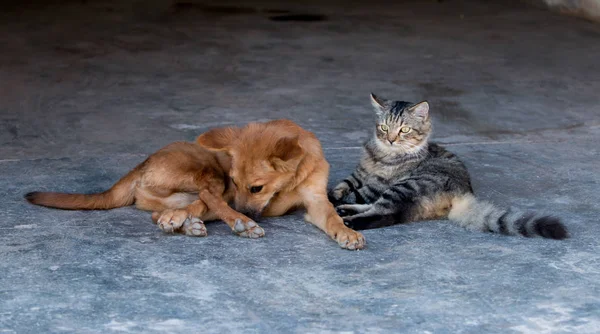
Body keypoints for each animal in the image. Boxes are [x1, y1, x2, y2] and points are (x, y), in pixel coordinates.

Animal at [24, 118, 366, 249]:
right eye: (236, 181)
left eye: (256, 187)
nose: (245, 209)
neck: (288, 184)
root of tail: (141, 164)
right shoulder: (228, 188)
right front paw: (243, 220)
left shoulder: (316, 200)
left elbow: (332, 217)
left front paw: (346, 233)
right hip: (206, 171)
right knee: (205, 196)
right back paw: (236, 223)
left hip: (177, 195)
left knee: (162, 213)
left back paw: (186, 222)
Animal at [328, 94, 568, 240]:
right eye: (384, 127)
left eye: (404, 130)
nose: (391, 140)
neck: (382, 155)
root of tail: (463, 193)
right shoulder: (359, 174)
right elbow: (343, 186)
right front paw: (335, 195)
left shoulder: (379, 184)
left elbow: (353, 193)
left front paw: (331, 198)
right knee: (382, 210)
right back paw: (345, 211)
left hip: (406, 186)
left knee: (384, 213)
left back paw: (348, 220)